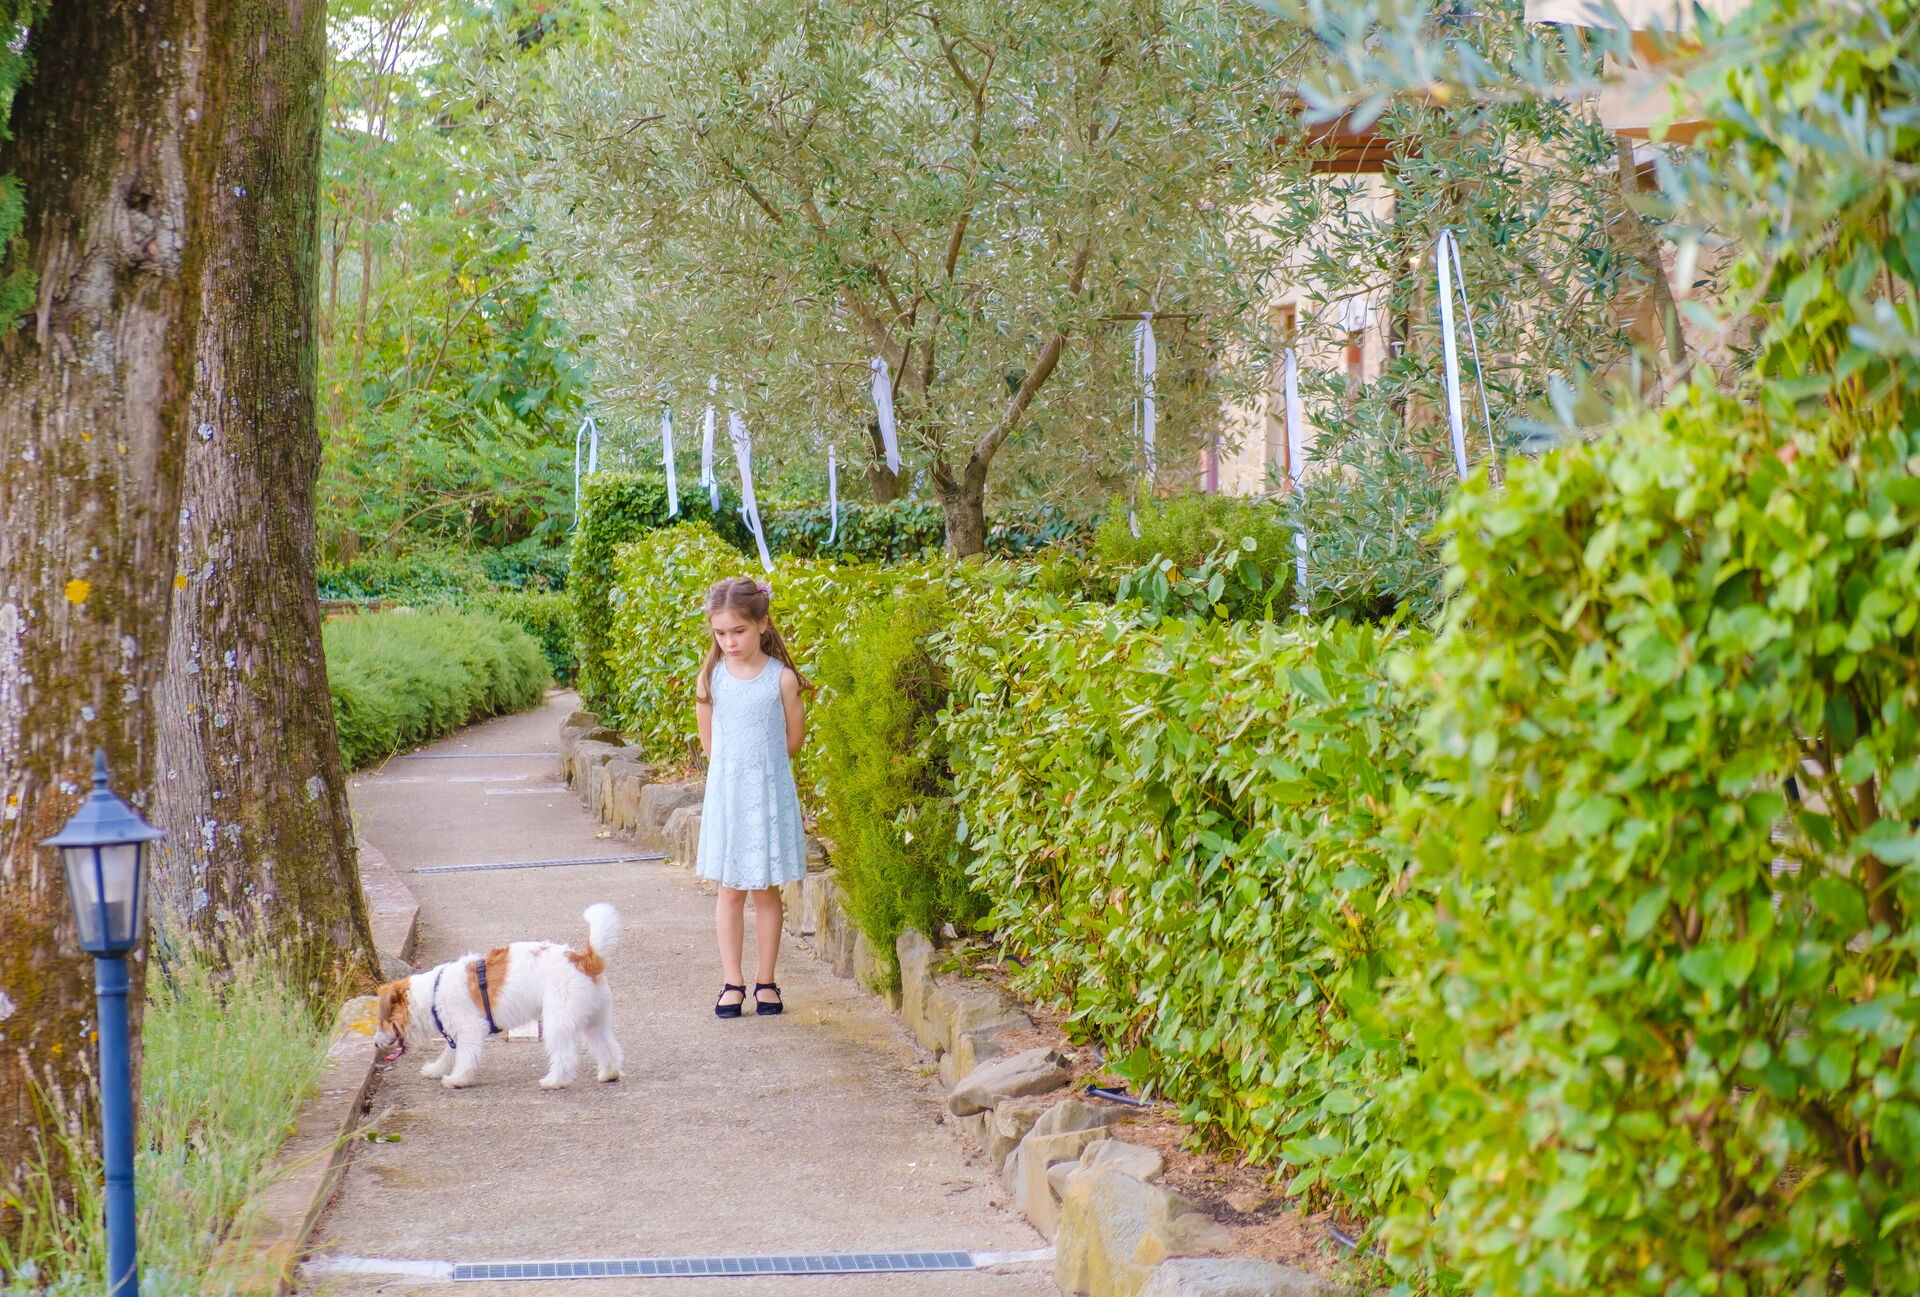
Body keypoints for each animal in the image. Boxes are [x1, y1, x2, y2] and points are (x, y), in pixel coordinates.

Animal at [373, 903, 623, 1090]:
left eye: (383, 1020)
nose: (375, 1044)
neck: (432, 994)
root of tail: (584, 960)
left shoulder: (470, 1030)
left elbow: (463, 1058)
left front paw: (457, 1079)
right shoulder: (457, 1032)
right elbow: (448, 1054)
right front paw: (436, 1070)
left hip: (557, 1022)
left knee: (566, 1057)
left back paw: (554, 1081)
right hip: (595, 1022)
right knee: (608, 1047)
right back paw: (608, 1074)